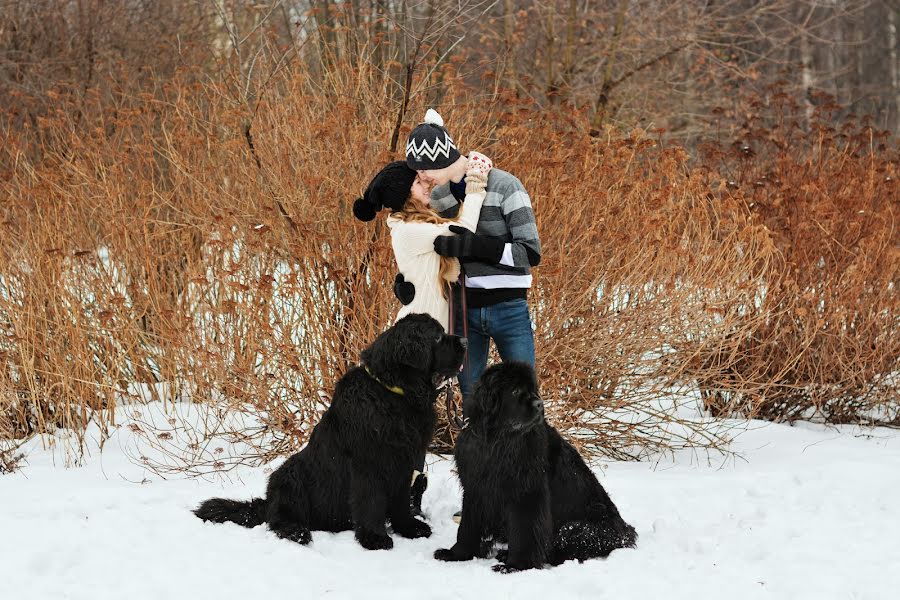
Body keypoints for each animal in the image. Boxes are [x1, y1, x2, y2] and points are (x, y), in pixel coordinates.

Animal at [194, 316, 468, 552]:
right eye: (437, 337)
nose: (465, 341)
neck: (393, 392)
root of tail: (267, 502)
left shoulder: (405, 462)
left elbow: (402, 501)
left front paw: (409, 528)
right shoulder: (370, 464)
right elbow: (371, 502)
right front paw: (375, 538)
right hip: (290, 475)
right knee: (279, 518)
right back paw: (298, 532)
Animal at [432, 360, 636, 572]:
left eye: (533, 390)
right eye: (515, 391)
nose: (539, 404)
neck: (499, 441)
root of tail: (627, 532)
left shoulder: (526, 492)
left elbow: (525, 531)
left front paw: (515, 565)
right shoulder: (475, 488)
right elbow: (468, 527)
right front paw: (456, 554)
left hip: (579, 529)